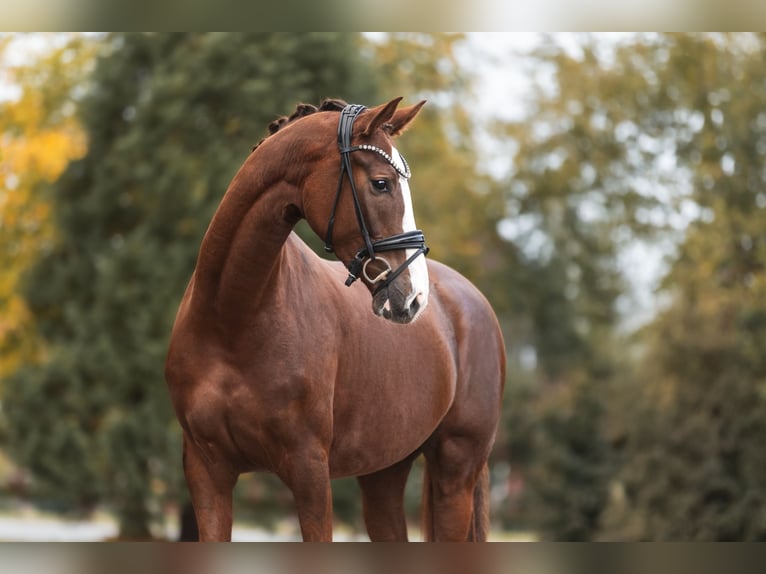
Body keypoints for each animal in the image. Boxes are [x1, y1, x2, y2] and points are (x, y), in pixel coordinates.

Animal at [165, 97, 506, 541]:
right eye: (381, 183)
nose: (415, 296)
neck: (232, 319)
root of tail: (473, 300)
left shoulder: (309, 470)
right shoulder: (207, 473)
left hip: (456, 472)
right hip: (383, 474)